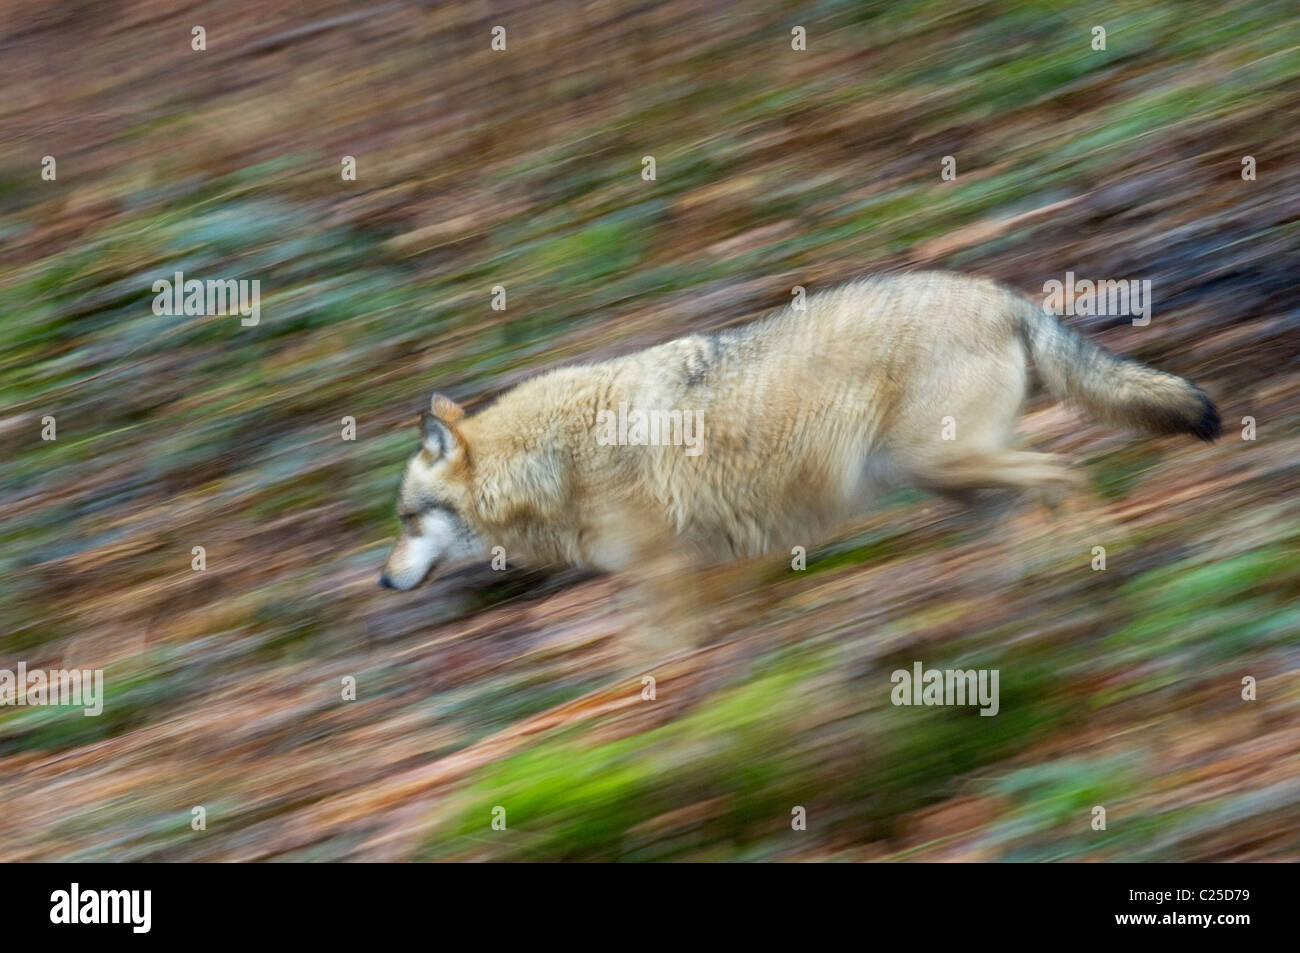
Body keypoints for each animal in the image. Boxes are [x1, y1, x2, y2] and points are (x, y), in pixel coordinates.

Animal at [379, 273, 1216, 603]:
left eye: (406, 519)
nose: (382, 581)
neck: (550, 461)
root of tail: (1001, 294)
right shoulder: (717, 564)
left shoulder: (664, 573)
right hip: (950, 479)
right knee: (1032, 505)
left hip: (949, 462)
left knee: (1066, 472)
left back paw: (1101, 557)